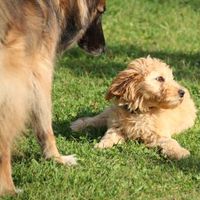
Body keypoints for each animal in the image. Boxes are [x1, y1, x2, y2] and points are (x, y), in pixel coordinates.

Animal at [0, 0, 106, 196]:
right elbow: (45, 125)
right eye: (101, 11)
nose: (104, 48)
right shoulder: (39, 70)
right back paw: (10, 189)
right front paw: (57, 158)